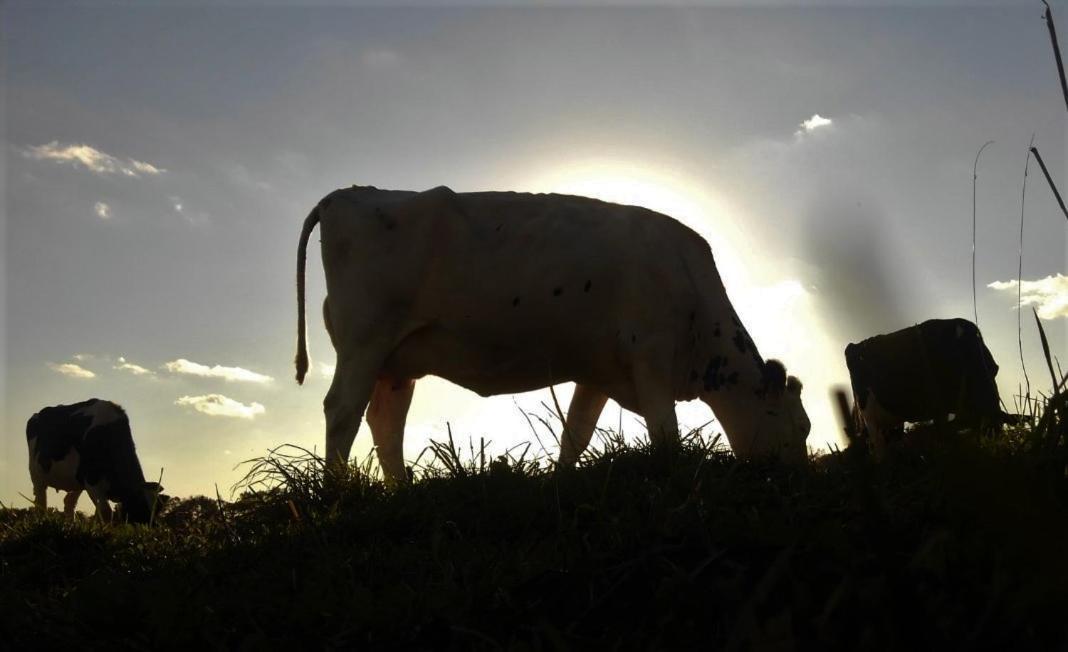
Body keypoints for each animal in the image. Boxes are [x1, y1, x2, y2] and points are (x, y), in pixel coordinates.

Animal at [26, 395, 162, 523]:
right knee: (40, 503)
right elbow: (106, 513)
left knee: (69, 502)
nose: (151, 527)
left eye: (157, 509)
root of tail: (37, 414)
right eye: (140, 506)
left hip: (77, 480)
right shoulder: (92, 481)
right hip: (36, 474)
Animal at [292, 184, 807, 478]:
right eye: (799, 427)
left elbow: (575, 434)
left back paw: (402, 493)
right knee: (343, 412)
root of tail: (342, 196)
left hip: (396, 361)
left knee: (386, 424)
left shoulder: (599, 372)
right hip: (365, 342)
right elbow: (666, 435)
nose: (799, 479)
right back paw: (337, 497)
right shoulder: (652, 360)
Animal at [845, 316, 1003, 451]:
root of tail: (855, 345)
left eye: (995, 369)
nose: (996, 434)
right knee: (879, 447)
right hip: (870, 417)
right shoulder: (938, 405)